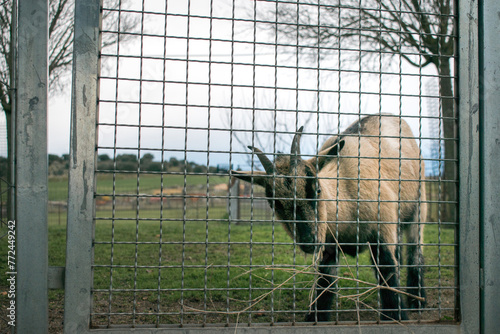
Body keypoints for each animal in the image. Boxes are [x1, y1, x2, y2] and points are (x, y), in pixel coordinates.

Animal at [232, 114, 428, 320]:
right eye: (274, 203)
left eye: (317, 189)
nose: (308, 241)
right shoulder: (329, 243)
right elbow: (326, 279)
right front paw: (315, 317)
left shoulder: (382, 228)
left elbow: (387, 270)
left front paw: (395, 316)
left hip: (419, 206)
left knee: (415, 251)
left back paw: (417, 301)